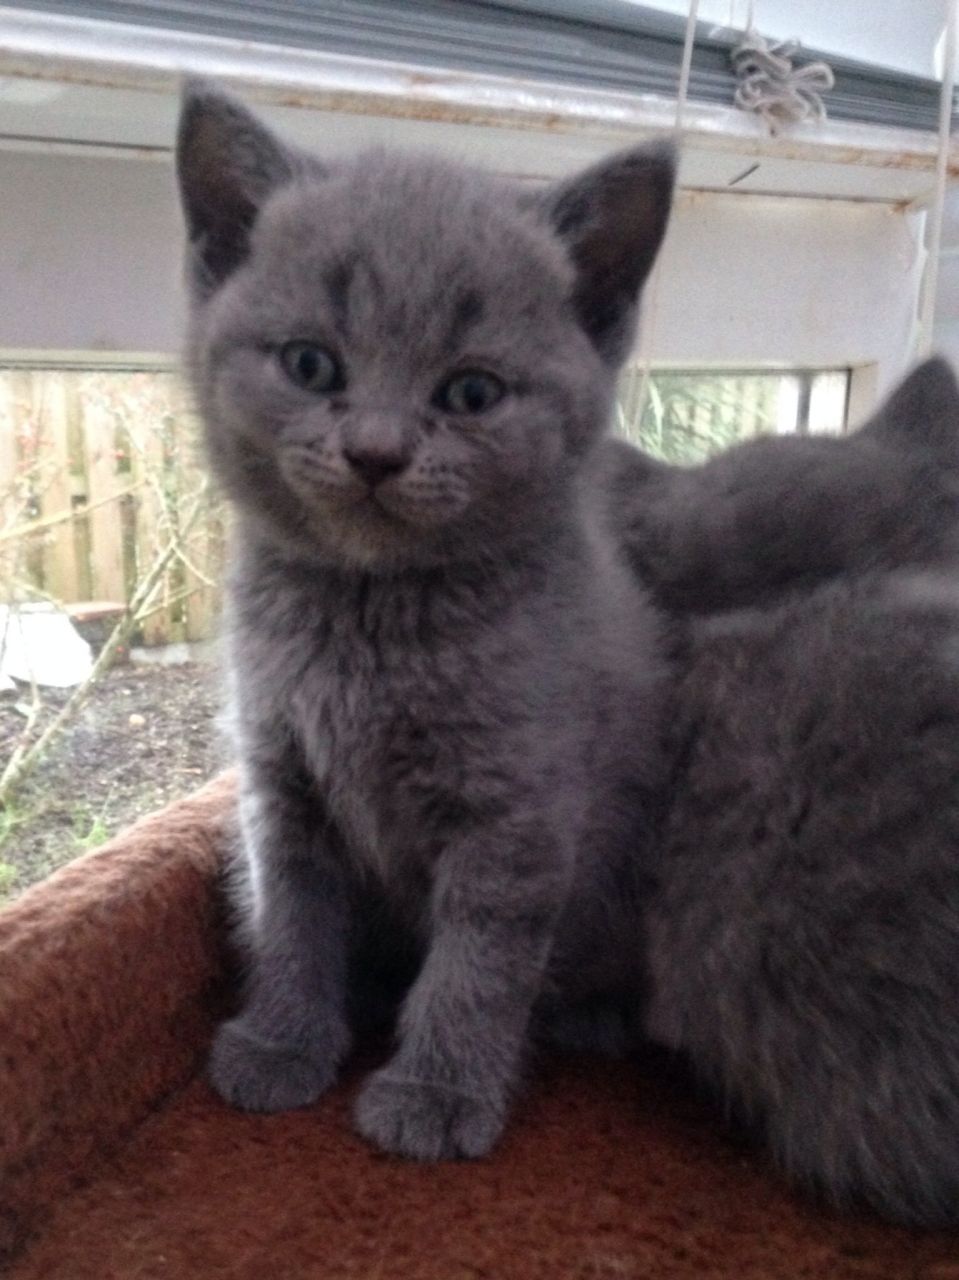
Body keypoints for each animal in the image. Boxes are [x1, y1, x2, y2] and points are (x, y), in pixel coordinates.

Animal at [177, 80, 670, 1162]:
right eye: (311, 365)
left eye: (471, 391)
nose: (373, 451)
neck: (371, 619)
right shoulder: (278, 781)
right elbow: (292, 912)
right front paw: (283, 1039)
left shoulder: (516, 808)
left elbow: (479, 961)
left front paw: (437, 1092)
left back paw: (586, 1019)